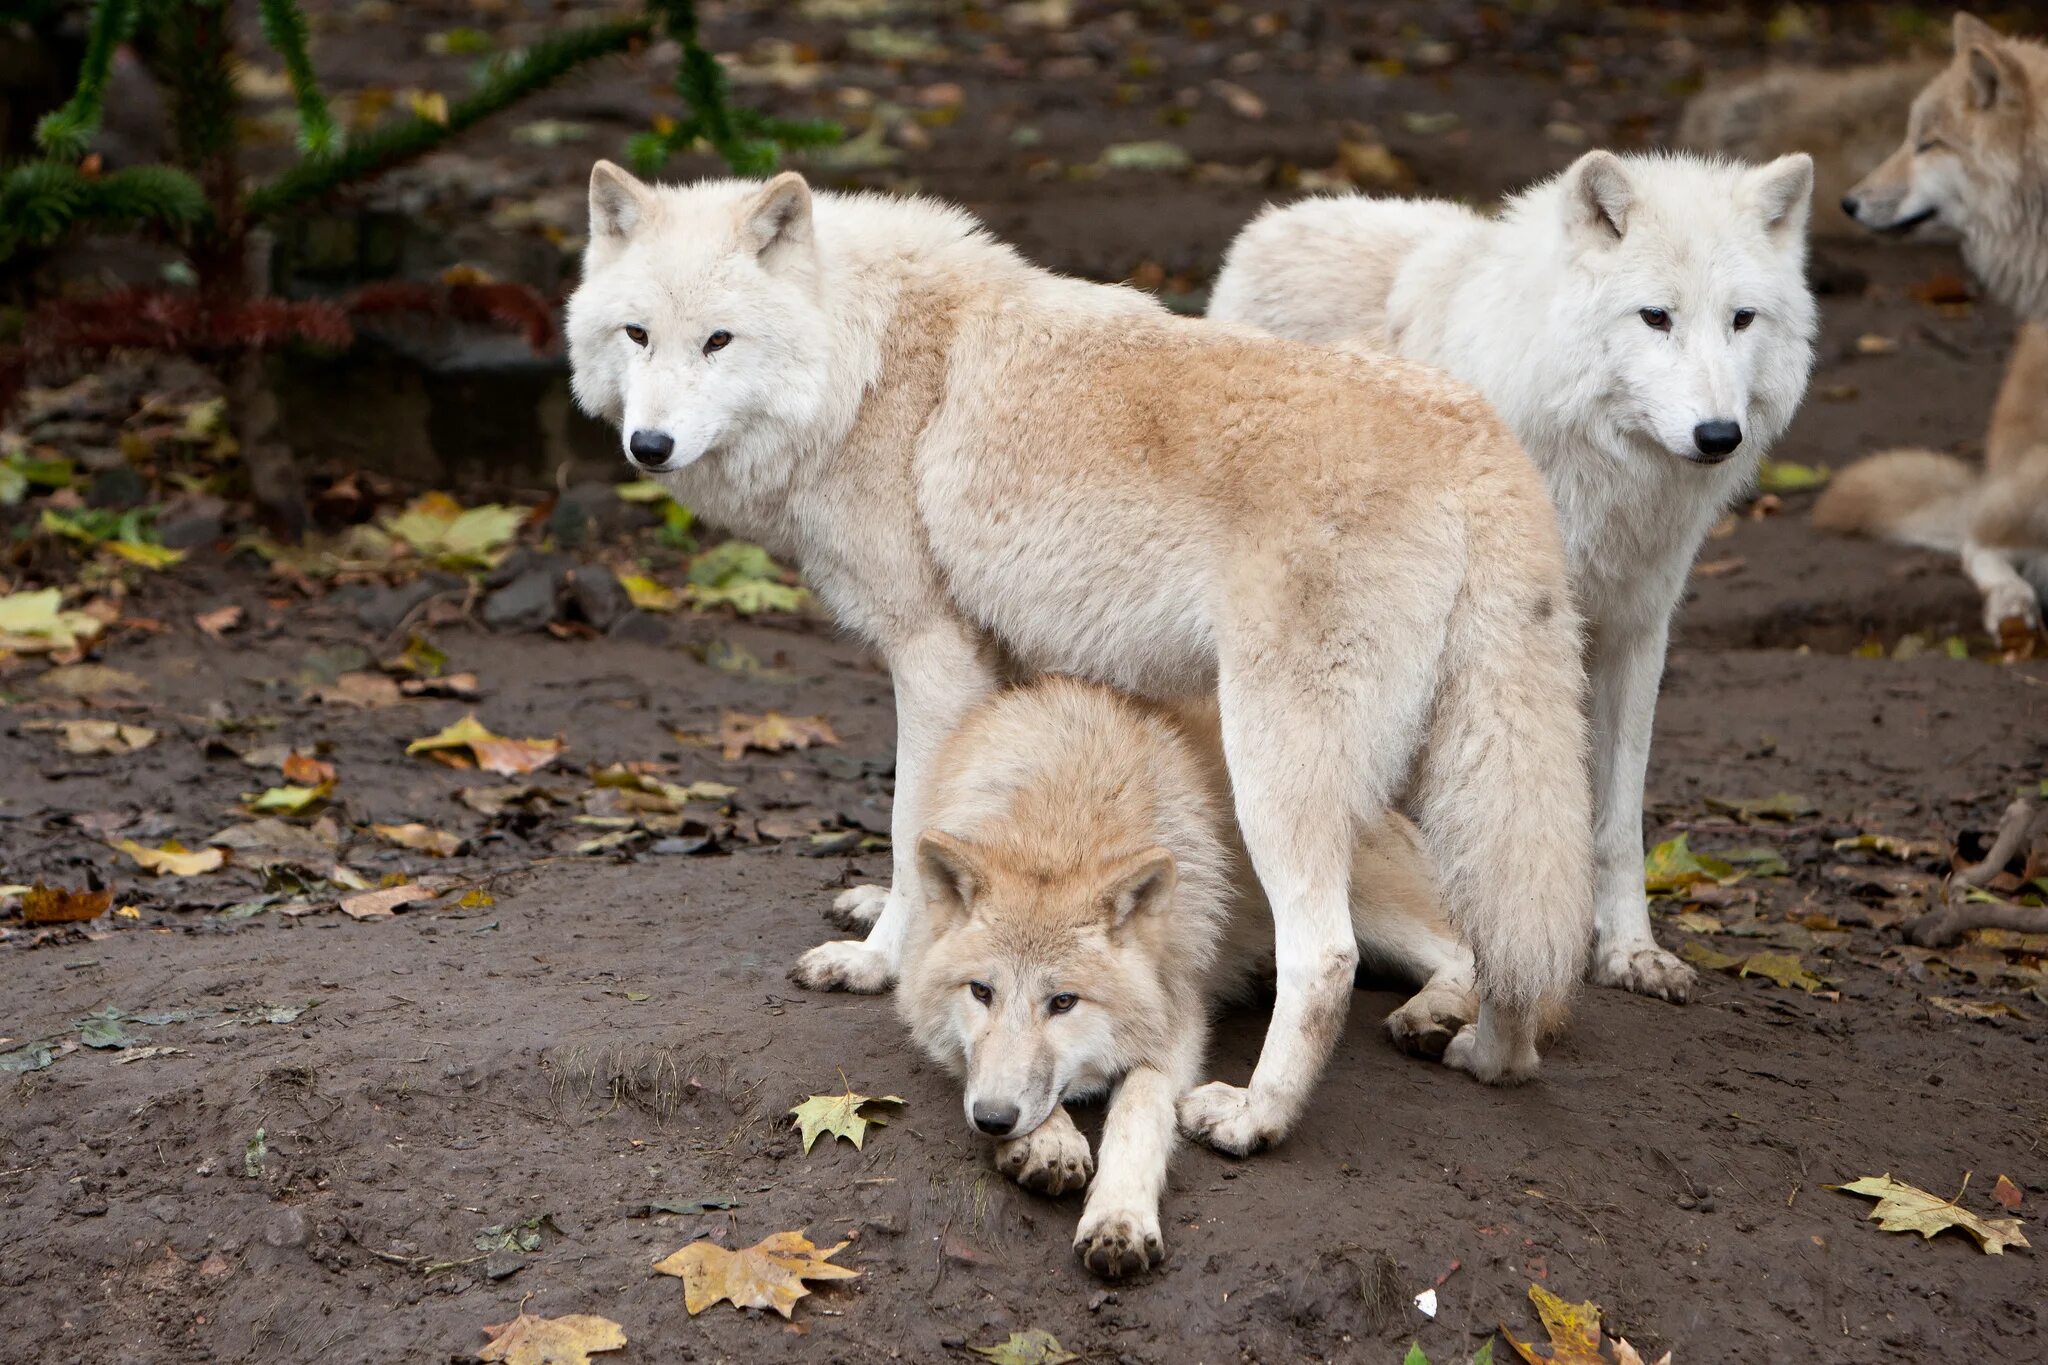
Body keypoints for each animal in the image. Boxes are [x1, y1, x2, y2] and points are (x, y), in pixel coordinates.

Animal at [565, 167, 1597, 1154]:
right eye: (638, 334)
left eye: (719, 341)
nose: (648, 445)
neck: (868, 367)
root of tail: (1479, 438)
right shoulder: (1013, 665)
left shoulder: (933, 658)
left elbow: (909, 820)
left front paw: (879, 960)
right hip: (1457, 766)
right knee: (1497, 931)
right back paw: (1480, 1044)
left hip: (1277, 766)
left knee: (1331, 953)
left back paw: (1256, 1116)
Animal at [905, 683, 1466, 1285]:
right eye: (980, 992)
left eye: (1063, 1002)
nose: (992, 1120)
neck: (1064, 820)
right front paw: (1048, 1140)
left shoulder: (1176, 1024)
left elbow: (1139, 1113)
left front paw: (1120, 1216)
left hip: (1353, 905)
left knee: (1463, 952)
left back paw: (1435, 1016)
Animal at [1204, 149, 1818, 1010]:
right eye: (1655, 317)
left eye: (1742, 319)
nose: (1718, 435)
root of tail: (1280, 218)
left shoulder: (1637, 630)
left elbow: (1618, 821)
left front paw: (1630, 951)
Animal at [1826, 14, 2048, 642]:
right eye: (1910, 137)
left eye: (1929, 144)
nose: (1848, 203)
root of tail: (1987, 480)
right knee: (1978, 542)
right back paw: (2011, 604)